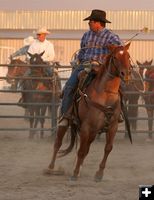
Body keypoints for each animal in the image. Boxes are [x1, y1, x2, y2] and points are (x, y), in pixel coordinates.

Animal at [46, 43, 132, 182]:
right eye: (115, 57)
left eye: (128, 56)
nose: (126, 73)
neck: (106, 94)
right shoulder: (86, 126)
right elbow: (81, 150)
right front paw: (75, 173)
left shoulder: (112, 126)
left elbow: (107, 148)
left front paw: (99, 174)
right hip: (66, 122)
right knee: (58, 143)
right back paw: (50, 168)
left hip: (93, 132)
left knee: (85, 148)